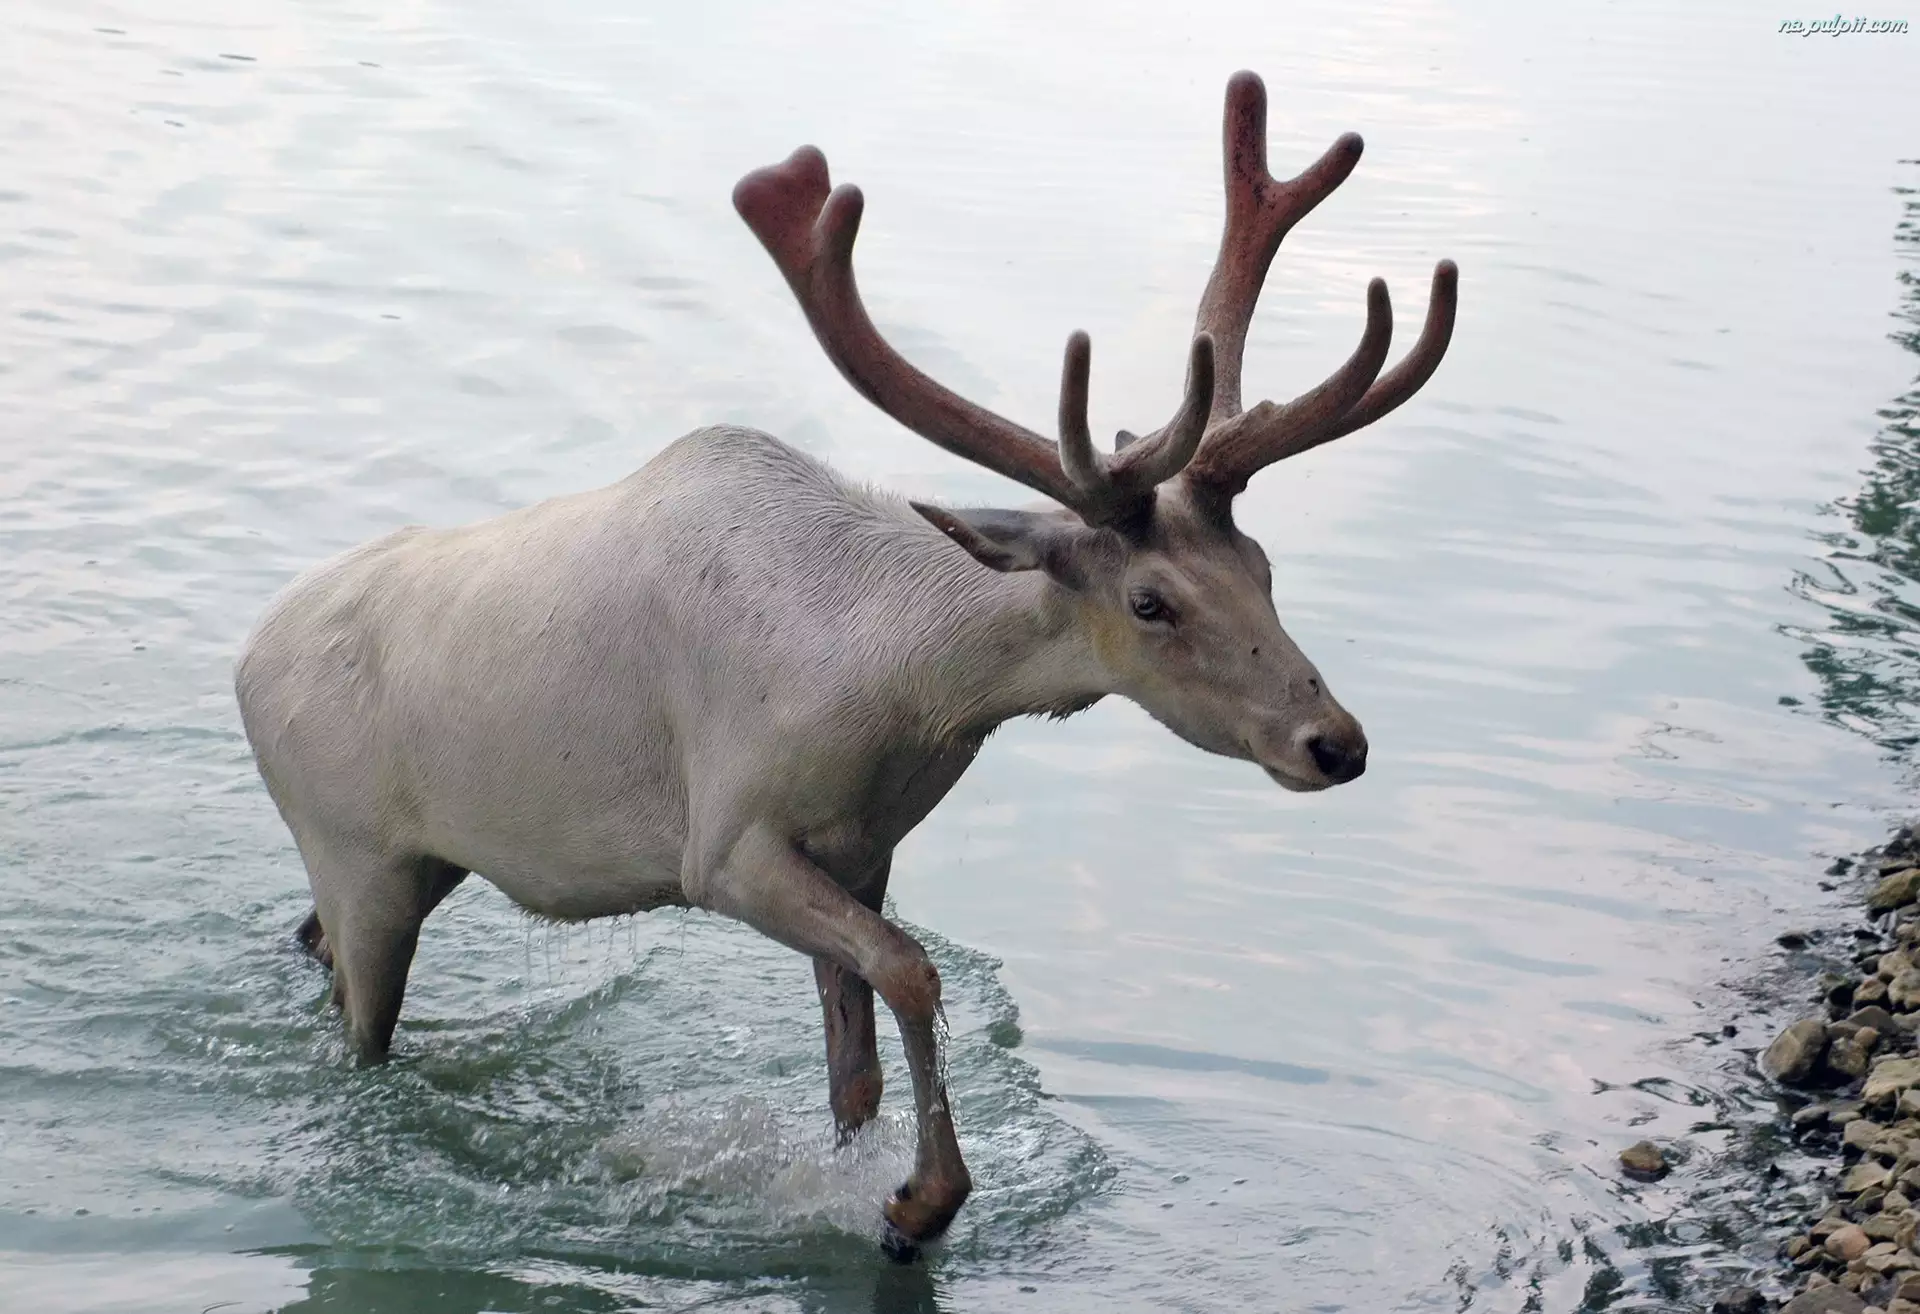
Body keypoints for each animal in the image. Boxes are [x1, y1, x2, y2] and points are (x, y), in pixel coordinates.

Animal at [233, 71, 1456, 1260]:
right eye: (1150, 602)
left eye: (1262, 565)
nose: (1334, 741)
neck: (894, 696)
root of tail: (244, 659)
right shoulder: (724, 849)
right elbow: (913, 969)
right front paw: (919, 1201)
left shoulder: (862, 848)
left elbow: (855, 1064)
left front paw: (882, 1178)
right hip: (352, 851)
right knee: (360, 1022)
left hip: (417, 861)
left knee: (315, 939)